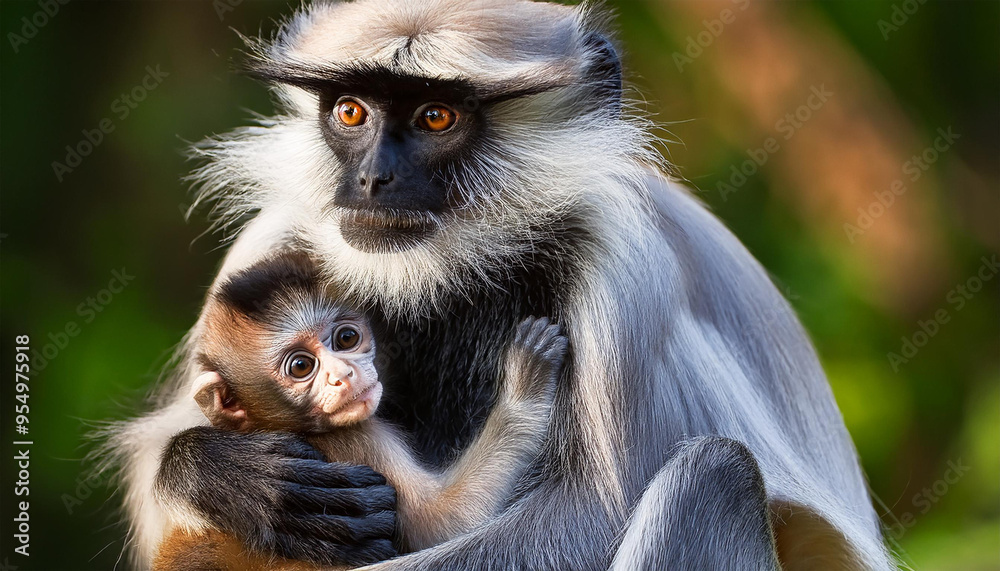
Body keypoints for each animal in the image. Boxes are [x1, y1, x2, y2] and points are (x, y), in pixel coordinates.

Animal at [151, 252, 567, 570]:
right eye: (300, 366)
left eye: (347, 337)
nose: (343, 375)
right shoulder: (358, 439)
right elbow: (441, 523)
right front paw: (524, 383)